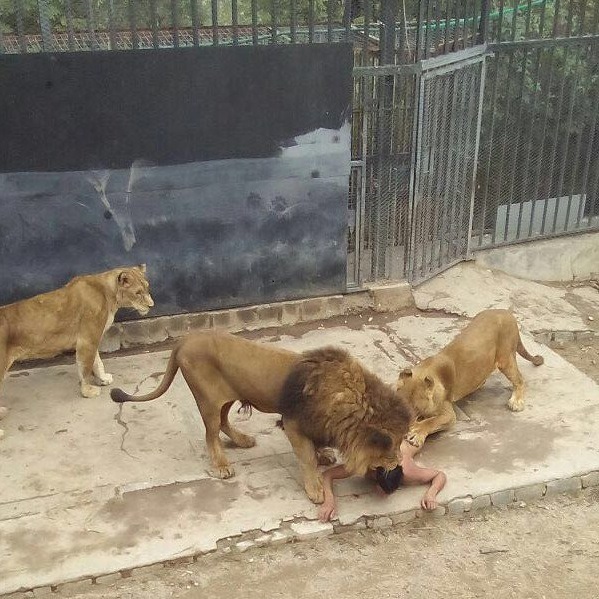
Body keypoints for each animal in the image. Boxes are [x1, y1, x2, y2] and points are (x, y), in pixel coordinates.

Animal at [1, 264, 155, 438]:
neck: (109, 292)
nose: (151, 305)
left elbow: (97, 362)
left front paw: (103, 379)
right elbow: (86, 368)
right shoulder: (87, 339)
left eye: (147, 288)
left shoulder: (93, 337)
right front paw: (88, 391)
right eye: (138, 292)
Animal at [398, 310, 544, 450]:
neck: (425, 370)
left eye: (416, 408)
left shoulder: (448, 414)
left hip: (505, 358)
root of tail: (508, 313)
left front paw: (416, 432)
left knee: (519, 380)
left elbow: (431, 421)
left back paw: (516, 401)